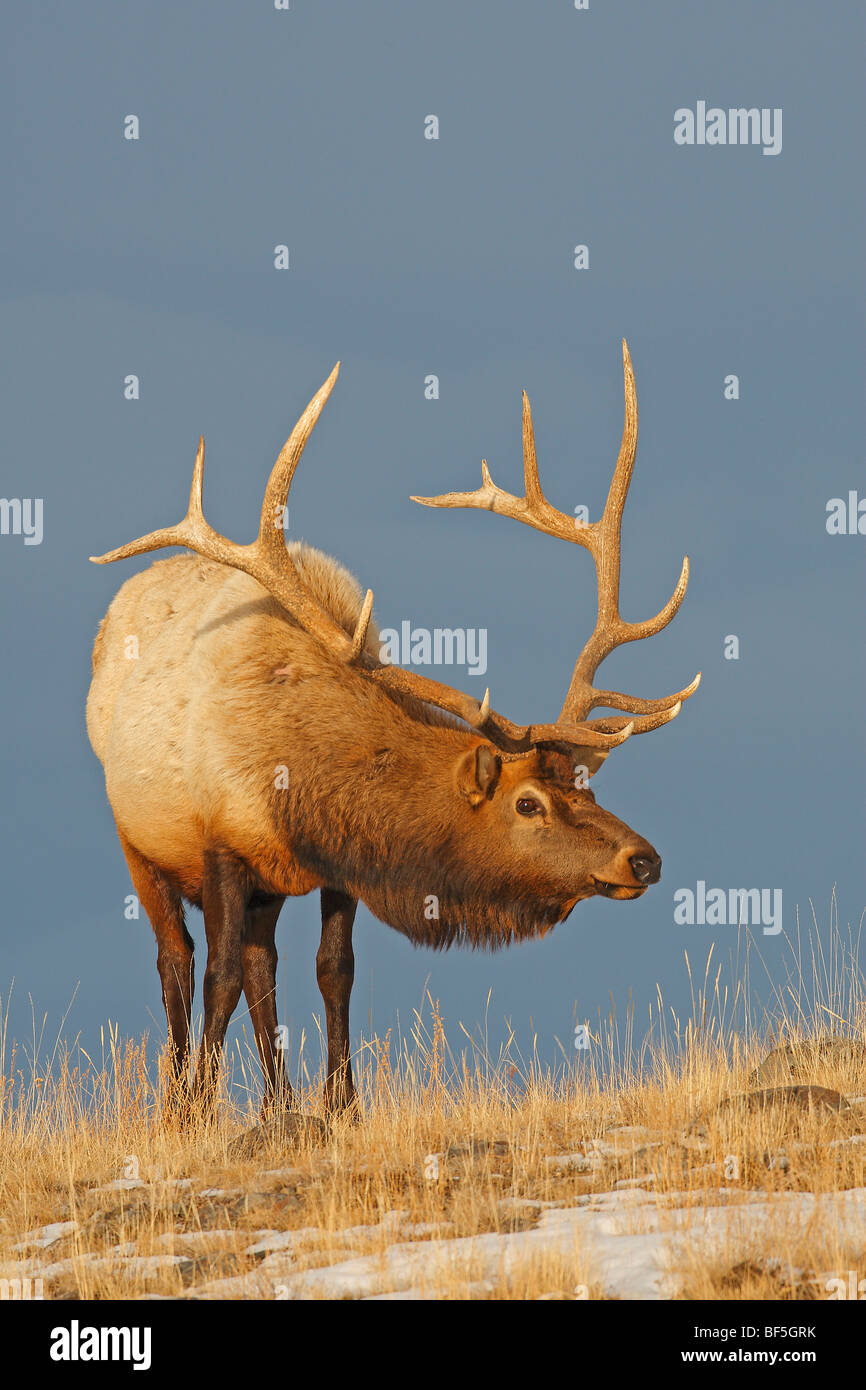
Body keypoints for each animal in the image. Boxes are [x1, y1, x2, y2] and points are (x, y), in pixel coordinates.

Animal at [86, 341, 699, 1117]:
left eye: (585, 785)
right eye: (528, 803)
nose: (643, 860)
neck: (296, 773)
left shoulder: (341, 863)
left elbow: (333, 969)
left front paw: (341, 1105)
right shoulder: (219, 837)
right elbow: (215, 973)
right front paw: (196, 1110)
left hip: (261, 887)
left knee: (261, 964)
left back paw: (279, 1105)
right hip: (138, 841)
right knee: (180, 961)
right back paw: (180, 1098)